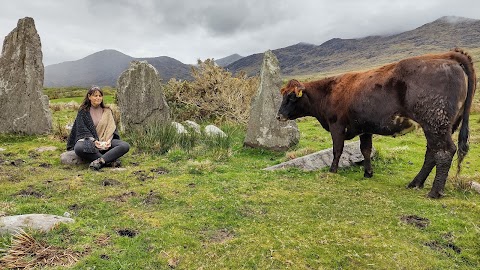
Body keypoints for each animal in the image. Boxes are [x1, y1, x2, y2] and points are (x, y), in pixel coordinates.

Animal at [278, 48, 476, 197]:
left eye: (291, 97)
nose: (278, 116)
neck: (329, 91)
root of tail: (448, 56)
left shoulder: (337, 126)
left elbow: (337, 150)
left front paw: (332, 170)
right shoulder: (365, 128)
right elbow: (365, 150)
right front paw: (368, 173)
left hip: (435, 122)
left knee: (444, 152)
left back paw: (434, 192)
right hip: (439, 126)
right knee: (432, 153)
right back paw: (415, 183)